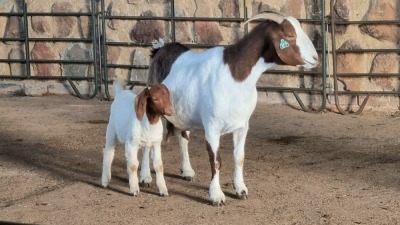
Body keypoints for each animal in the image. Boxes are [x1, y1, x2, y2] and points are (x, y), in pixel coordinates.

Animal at [145, 11, 318, 207]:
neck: (235, 75)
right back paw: (146, 178)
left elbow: (239, 157)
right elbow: (216, 161)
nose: (315, 58)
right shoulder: (212, 127)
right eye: (289, 35)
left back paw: (187, 171)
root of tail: (159, 49)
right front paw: (216, 196)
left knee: (183, 138)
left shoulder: (242, 125)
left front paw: (240, 190)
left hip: (183, 114)